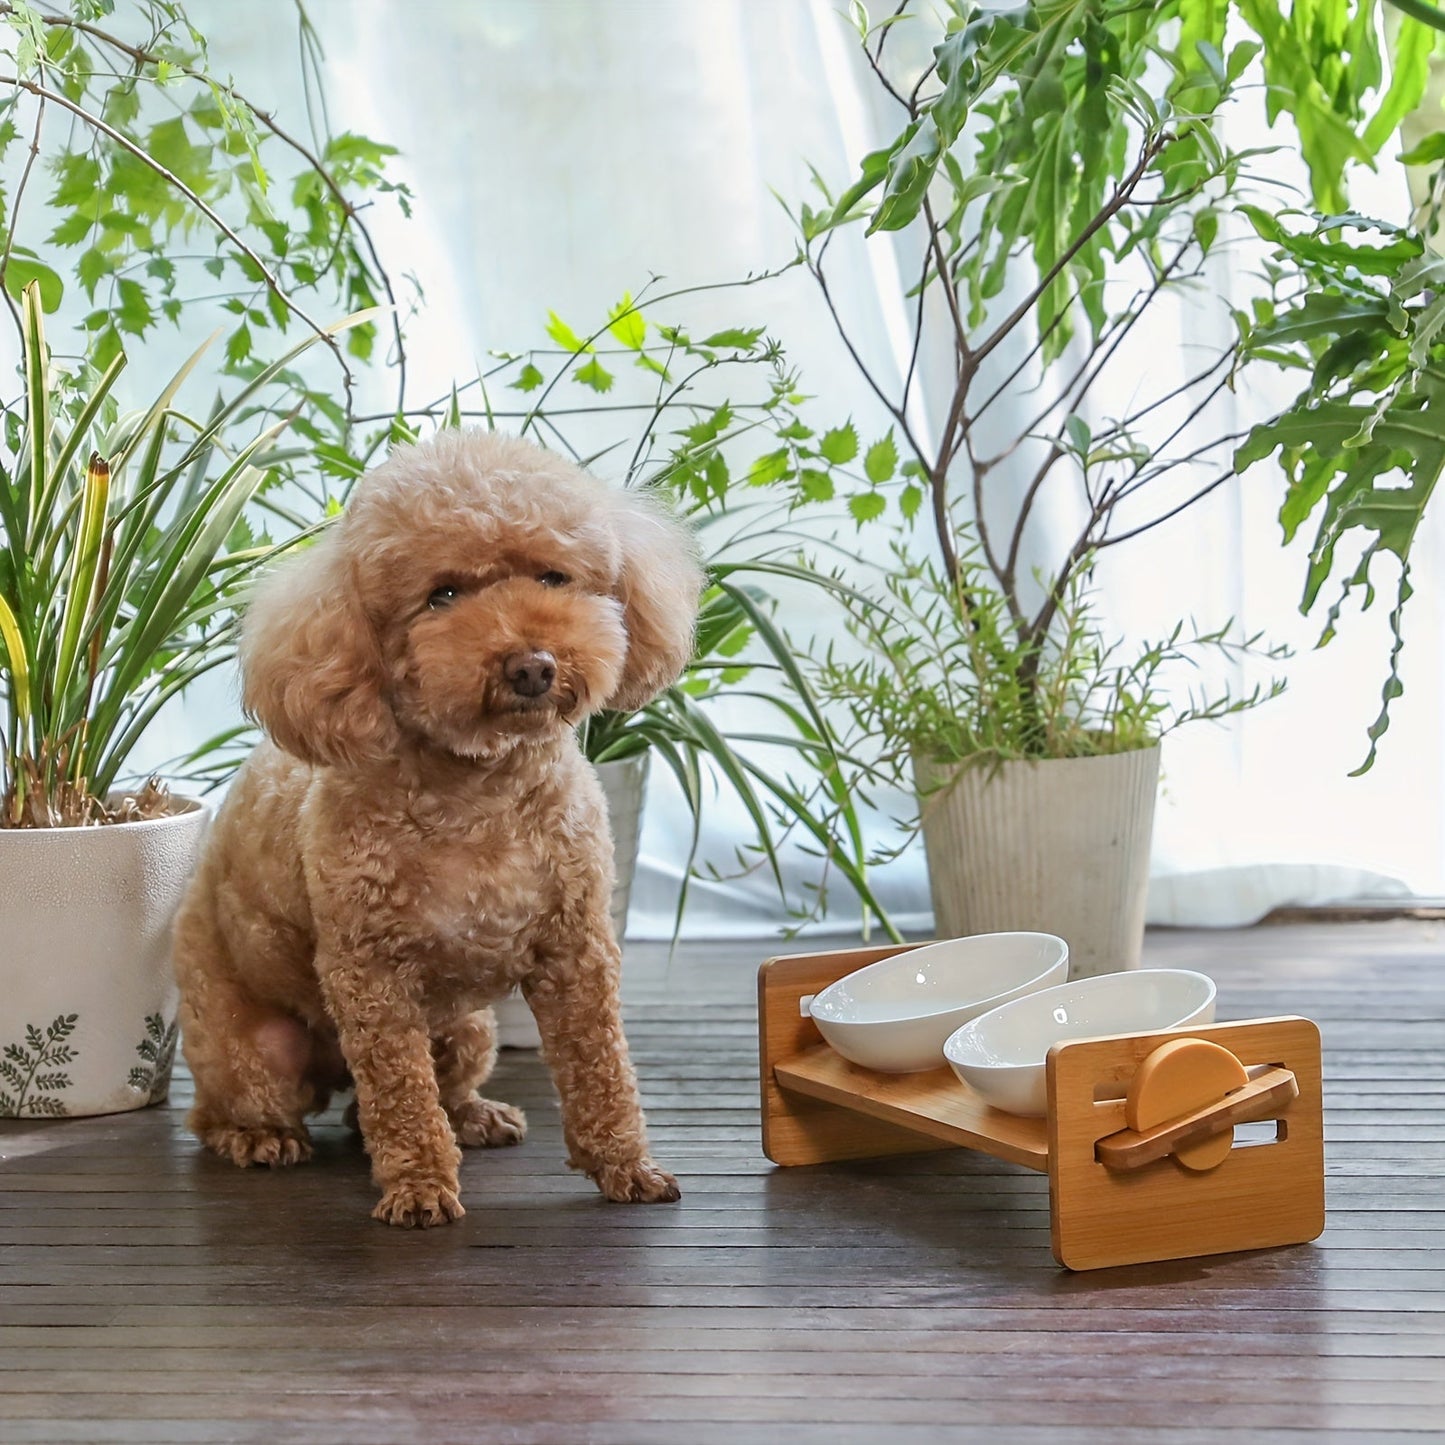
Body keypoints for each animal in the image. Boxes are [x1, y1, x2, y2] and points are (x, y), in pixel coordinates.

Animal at [171, 430, 702, 1231]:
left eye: (553, 576)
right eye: (441, 596)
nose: (531, 666)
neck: (480, 791)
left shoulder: (576, 949)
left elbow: (602, 1070)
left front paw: (625, 1166)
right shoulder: (370, 975)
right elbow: (401, 1096)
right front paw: (418, 1186)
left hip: (469, 1029)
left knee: (410, 1096)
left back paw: (475, 1116)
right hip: (254, 1047)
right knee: (230, 1110)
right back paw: (259, 1137)